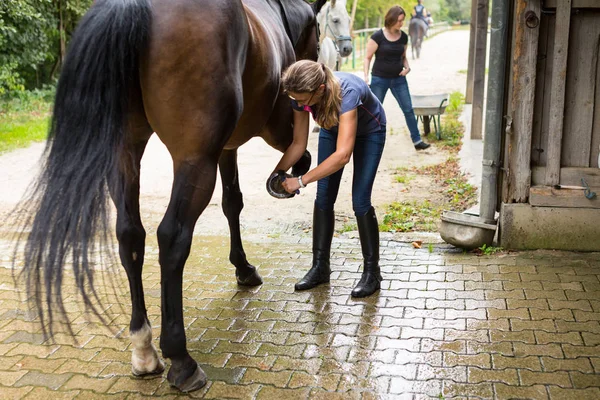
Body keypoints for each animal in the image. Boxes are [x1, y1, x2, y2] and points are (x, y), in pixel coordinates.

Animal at [15, 0, 324, 394]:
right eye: (318, 33)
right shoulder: (274, 128)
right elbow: (287, 163)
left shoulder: (227, 147)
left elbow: (232, 202)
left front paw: (242, 267)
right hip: (195, 161)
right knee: (172, 237)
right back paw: (180, 359)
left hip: (125, 153)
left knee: (130, 236)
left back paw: (144, 348)